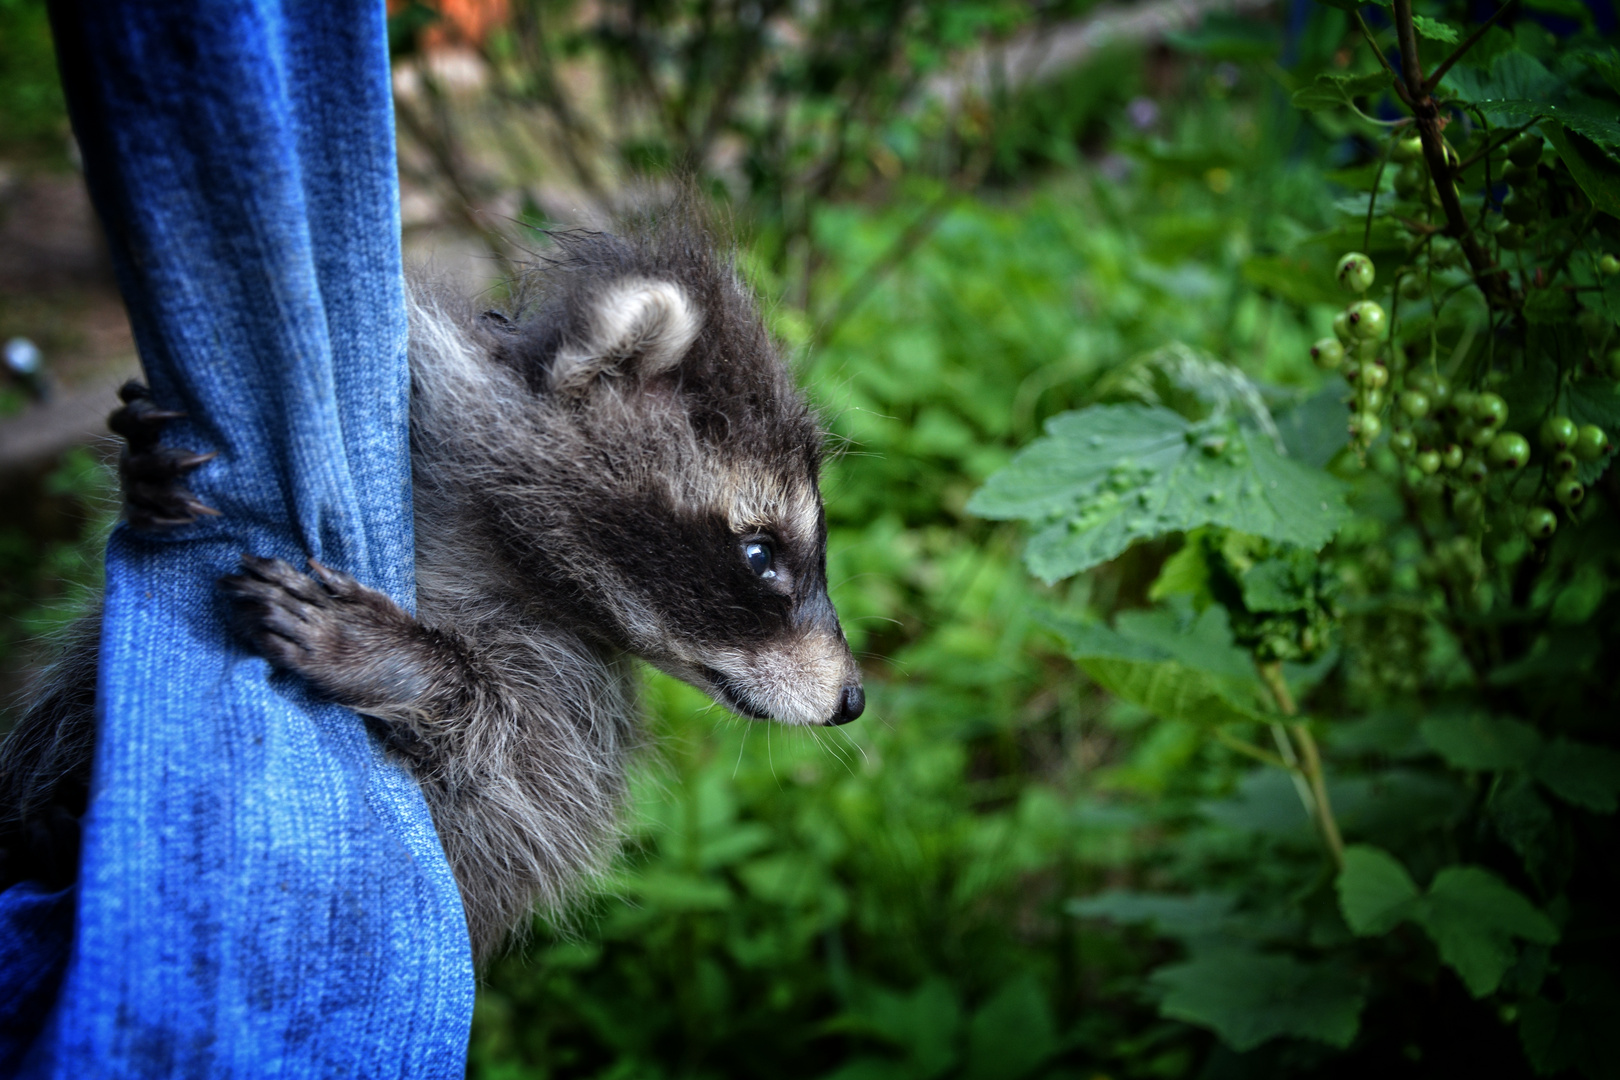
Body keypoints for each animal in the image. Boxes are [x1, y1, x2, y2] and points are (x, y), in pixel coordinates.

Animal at [0, 215, 861, 958]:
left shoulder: (574, 690)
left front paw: (410, 666)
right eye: (761, 555)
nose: (853, 698)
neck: (503, 545)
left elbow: (520, 773)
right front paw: (137, 472)